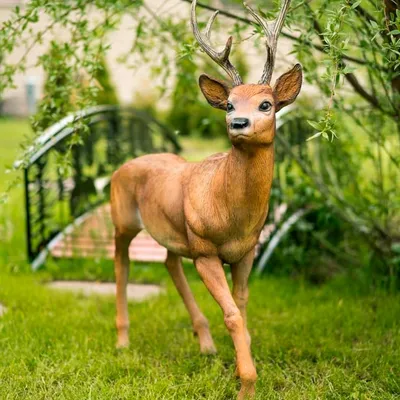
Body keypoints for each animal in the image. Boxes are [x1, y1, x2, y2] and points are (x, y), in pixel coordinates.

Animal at [111, 0, 302, 396]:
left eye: (266, 104)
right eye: (229, 104)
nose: (238, 123)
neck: (232, 214)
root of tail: (123, 166)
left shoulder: (247, 250)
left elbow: (242, 306)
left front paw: (240, 368)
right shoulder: (204, 250)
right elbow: (231, 314)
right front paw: (247, 385)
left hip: (175, 230)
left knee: (169, 261)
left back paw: (206, 344)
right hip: (123, 219)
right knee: (122, 265)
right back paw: (122, 340)